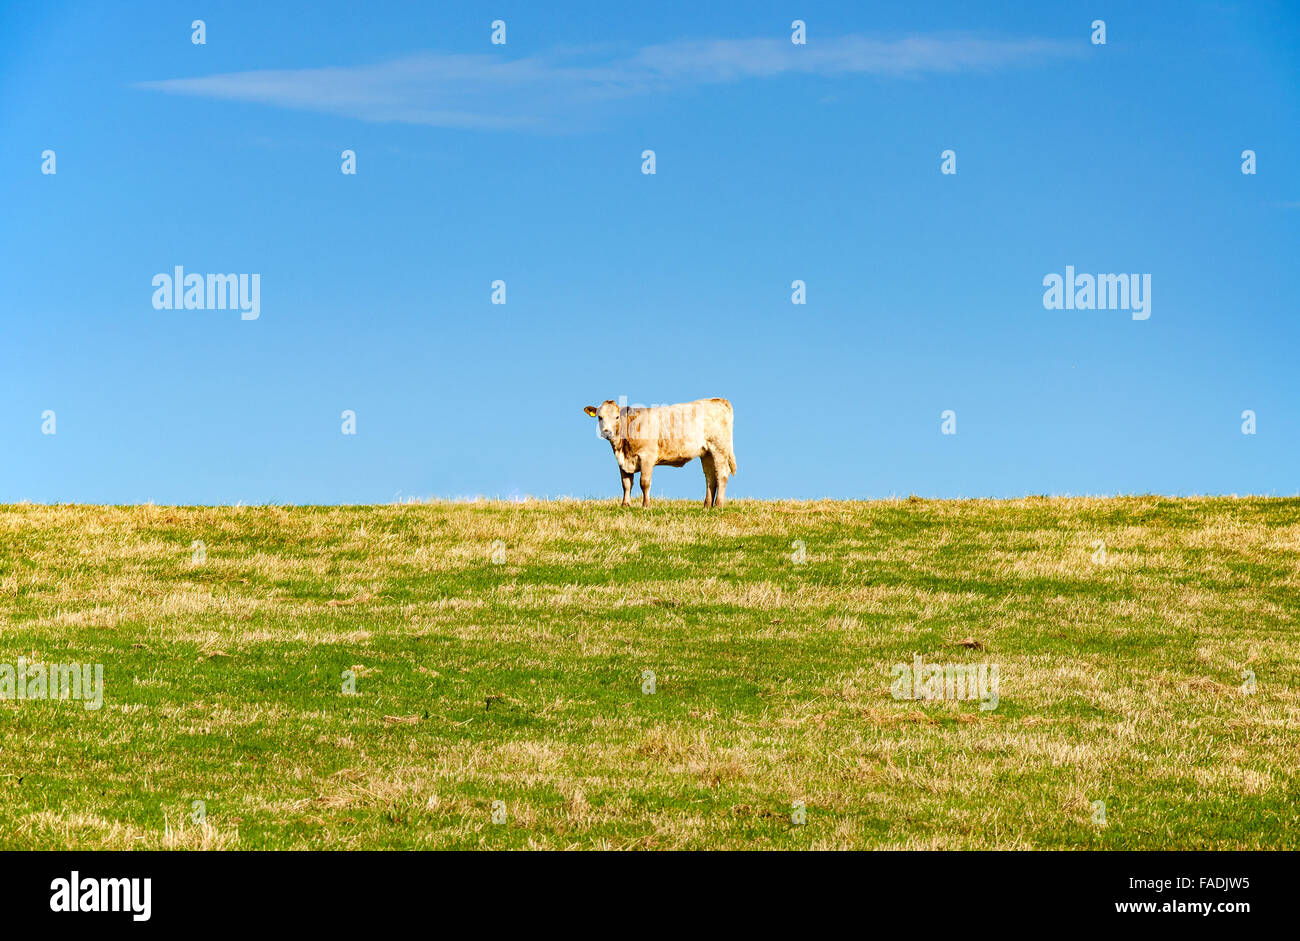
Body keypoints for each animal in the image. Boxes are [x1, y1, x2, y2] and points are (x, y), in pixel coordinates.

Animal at [585, 400, 738, 512]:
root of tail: (717, 400)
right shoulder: (623, 462)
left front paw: (646, 505)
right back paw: (706, 506)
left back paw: (718, 505)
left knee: (722, 474)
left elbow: (644, 482)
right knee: (710, 478)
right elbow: (626, 484)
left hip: (719, 448)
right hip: (706, 453)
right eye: (600, 417)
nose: (607, 432)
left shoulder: (647, 457)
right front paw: (625, 505)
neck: (622, 448)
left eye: (616, 417)